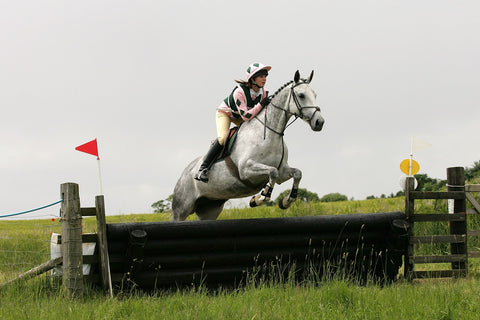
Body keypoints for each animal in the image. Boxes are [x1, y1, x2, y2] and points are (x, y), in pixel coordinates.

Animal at [171, 69, 324, 220]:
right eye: (301, 95)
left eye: (315, 95)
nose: (319, 122)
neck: (269, 133)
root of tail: (184, 173)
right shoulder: (245, 169)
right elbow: (272, 172)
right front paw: (259, 198)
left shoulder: (282, 171)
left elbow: (297, 173)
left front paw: (286, 201)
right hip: (181, 209)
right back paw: (201, 172)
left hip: (210, 208)